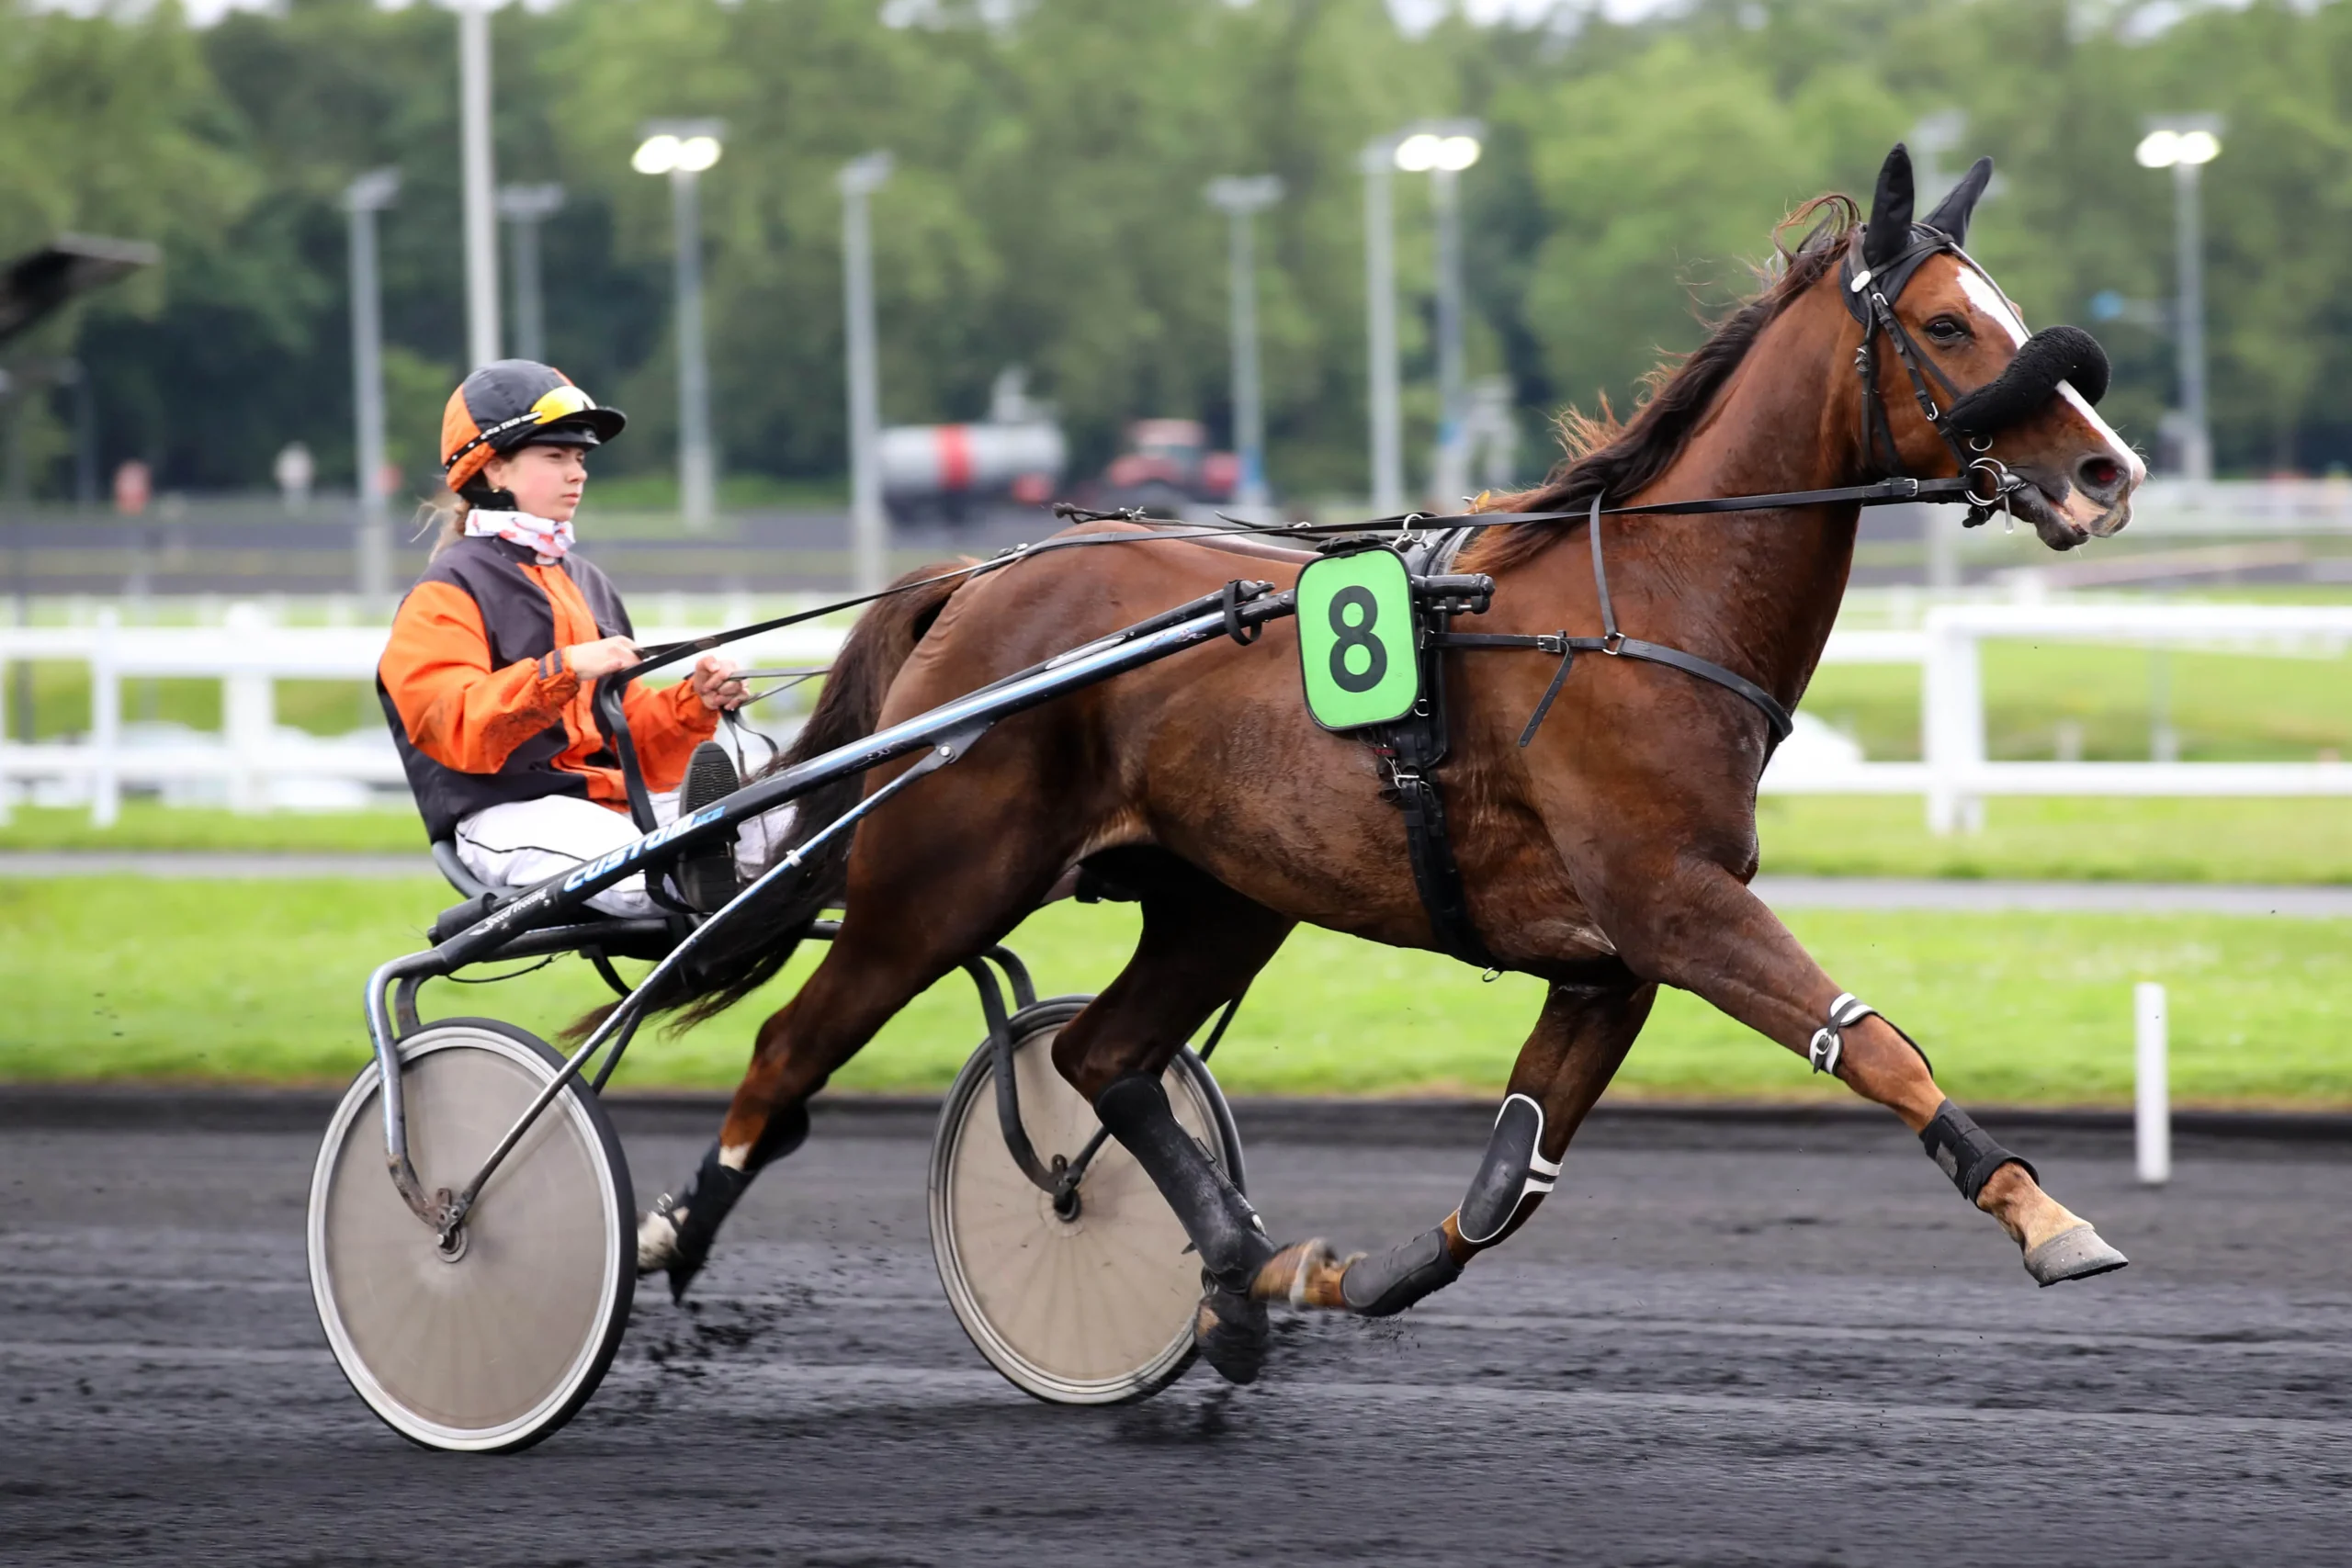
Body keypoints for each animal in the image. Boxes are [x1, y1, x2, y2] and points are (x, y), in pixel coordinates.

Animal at [635, 141, 2144, 1382]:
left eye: (2012, 314)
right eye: (1949, 324)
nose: (2110, 472)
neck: (1645, 611)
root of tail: (979, 577)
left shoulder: (1609, 962)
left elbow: (1506, 1181)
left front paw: (1338, 1274)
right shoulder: (1677, 905)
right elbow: (1870, 1041)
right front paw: (2044, 1213)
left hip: (1221, 894)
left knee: (1105, 1055)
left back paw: (1234, 1273)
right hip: (939, 880)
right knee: (791, 1047)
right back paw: (665, 1235)